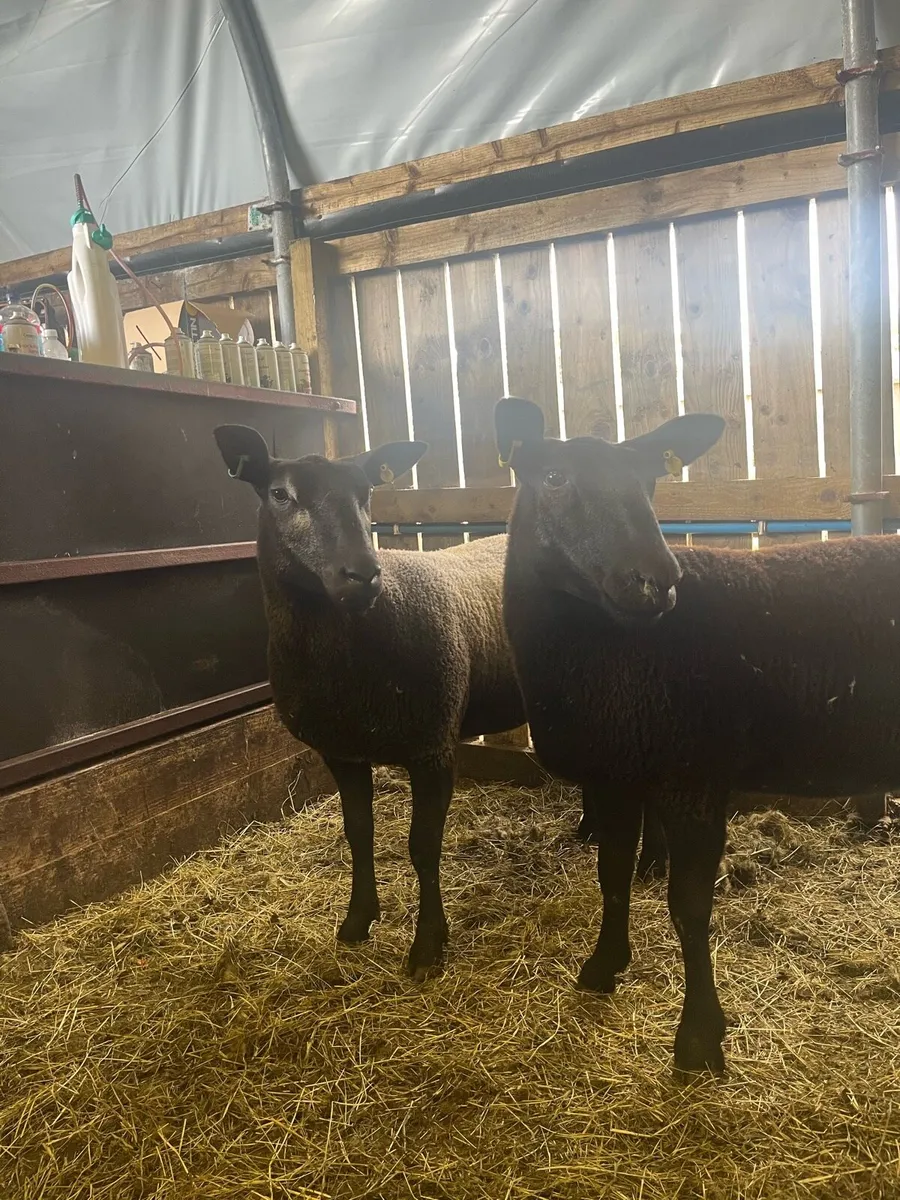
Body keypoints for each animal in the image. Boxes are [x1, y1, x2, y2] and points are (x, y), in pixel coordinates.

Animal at [214, 424, 530, 978]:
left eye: (366, 494)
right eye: (280, 494)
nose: (361, 575)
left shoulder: (433, 747)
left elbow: (423, 848)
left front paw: (427, 947)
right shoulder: (342, 751)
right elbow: (358, 834)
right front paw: (357, 922)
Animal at [495, 395, 900, 1075]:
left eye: (650, 481)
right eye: (553, 477)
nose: (656, 578)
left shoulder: (694, 776)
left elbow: (688, 907)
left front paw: (698, 1040)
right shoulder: (617, 776)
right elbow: (612, 876)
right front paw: (602, 968)